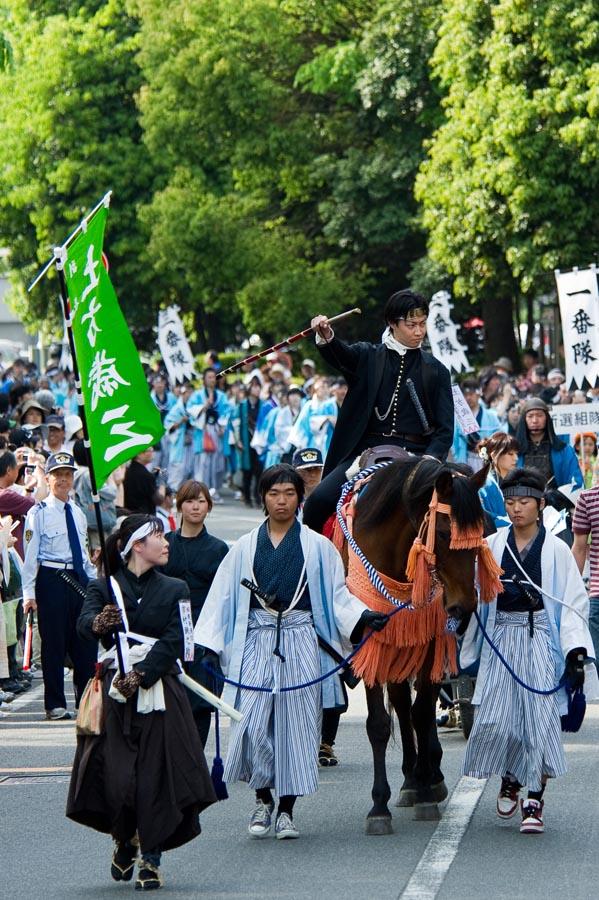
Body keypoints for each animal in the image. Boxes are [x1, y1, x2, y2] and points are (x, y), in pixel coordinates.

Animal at [342, 460, 496, 832]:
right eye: (442, 534)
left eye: (483, 531)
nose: (464, 608)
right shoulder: (371, 639)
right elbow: (379, 724)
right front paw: (379, 806)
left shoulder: (428, 640)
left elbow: (422, 712)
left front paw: (427, 791)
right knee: (399, 702)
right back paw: (409, 780)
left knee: (413, 708)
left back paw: (428, 776)